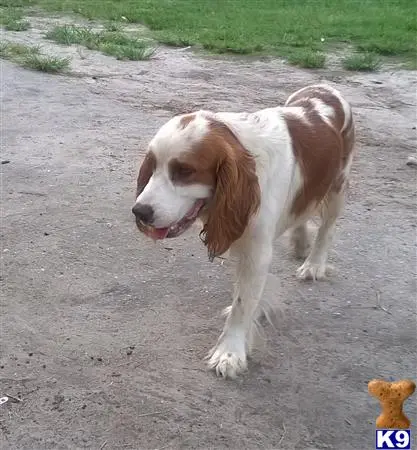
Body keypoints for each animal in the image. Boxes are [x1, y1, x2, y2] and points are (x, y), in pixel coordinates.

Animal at [132, 84, 354, 380]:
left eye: (185, 171)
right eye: (153, 164)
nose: (140, 211)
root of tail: (326, 87)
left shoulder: (256, 252)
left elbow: (242, 304)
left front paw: (230, 352)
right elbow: (245, 296)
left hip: (337, 186)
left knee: (327, 229)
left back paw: (314, 263)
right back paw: (300, 242)